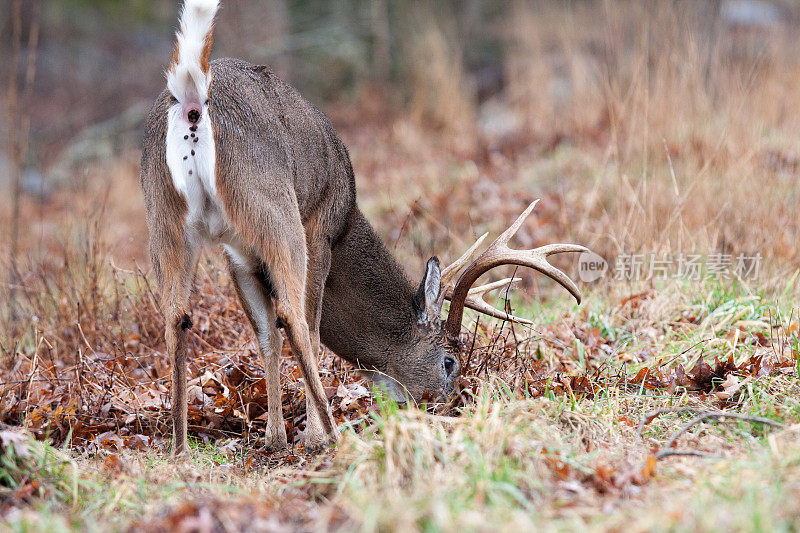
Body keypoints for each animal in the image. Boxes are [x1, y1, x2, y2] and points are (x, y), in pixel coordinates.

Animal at [141, 0, 584, 454]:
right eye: (449, 361)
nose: (450, 406)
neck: (349, 219)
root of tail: (193, 97)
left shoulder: (239, 255)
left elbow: (266, 337)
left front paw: (275, 438)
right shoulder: (319, 229)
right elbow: (306, 325)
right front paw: (307, 435)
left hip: (163, 213)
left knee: (176, 316)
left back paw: (180, 448)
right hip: (272, 205)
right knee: (292, 316)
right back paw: (330, 434)